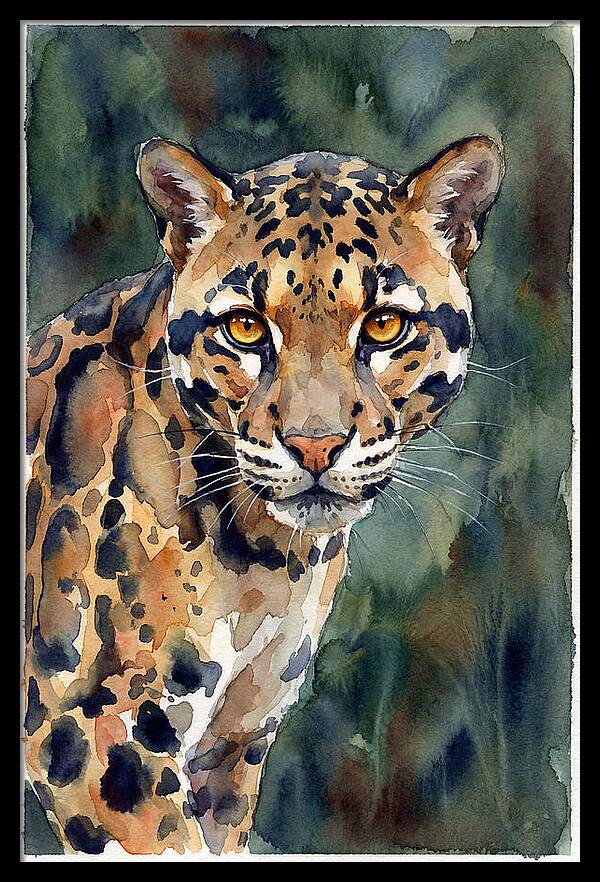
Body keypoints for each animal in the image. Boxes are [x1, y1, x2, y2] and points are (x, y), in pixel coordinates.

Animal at [24, 134, 503, 856]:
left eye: (385, 326)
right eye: (246, 328)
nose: (315, 445)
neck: (265, 559)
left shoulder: (231, 745)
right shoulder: (92, 732)